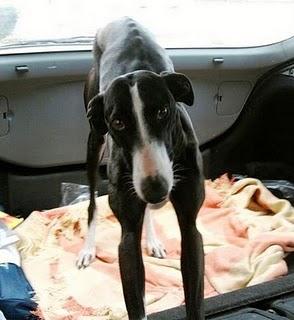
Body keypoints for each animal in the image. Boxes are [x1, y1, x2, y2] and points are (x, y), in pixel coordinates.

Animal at [77, 17, 204, 320]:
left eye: (163, 112)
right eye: (118, 122)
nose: (155, 189)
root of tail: (122, 19)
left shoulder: (190, 226)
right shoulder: (127, 237)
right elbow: (136, 301)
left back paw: (154, 240)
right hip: (94, 140)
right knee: (92, 204)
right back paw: (88, 249)